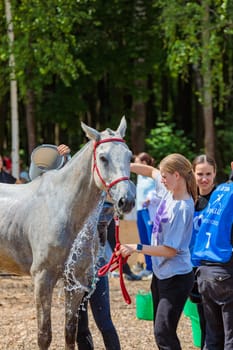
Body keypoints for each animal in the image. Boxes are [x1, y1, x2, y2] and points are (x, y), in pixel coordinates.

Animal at [0, 117, 135, 350]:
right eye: (103, 158)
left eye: (129, 156)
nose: (126, 201)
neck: (63, 208)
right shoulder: (42, 278)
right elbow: (44, 335)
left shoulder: (75, 282)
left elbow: (70, 333)